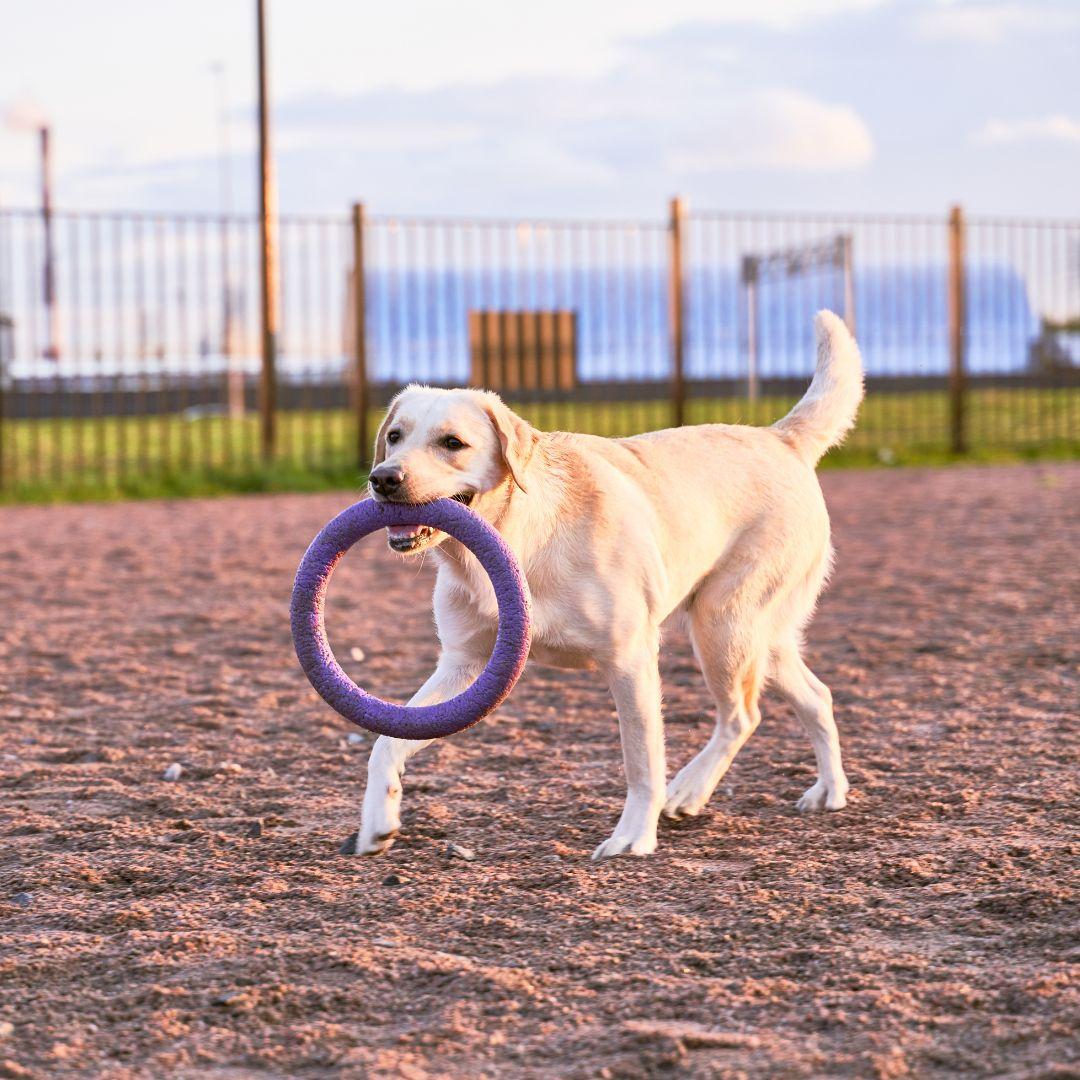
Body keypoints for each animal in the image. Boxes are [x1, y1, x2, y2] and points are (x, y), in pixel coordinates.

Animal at [358, 308, 864, 855]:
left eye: (452, 443)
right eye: (395, 436)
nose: (383, 478)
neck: (521, 538)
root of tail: (780, 438)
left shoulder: (630, 659)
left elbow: (641, 762)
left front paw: (633, 837)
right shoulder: (465, 666)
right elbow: (386, 743)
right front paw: (376, 823)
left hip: (723, 627)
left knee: (742, 715)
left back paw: (689, 789)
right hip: (758, 639)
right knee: (817, 696)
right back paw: (828, 790)